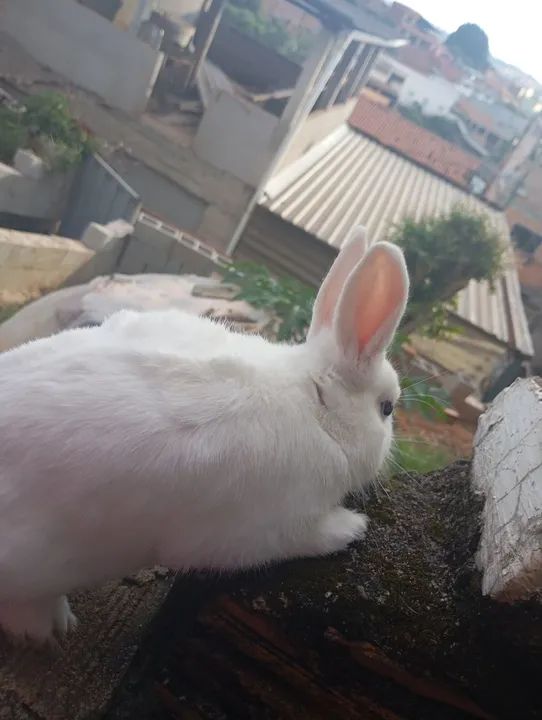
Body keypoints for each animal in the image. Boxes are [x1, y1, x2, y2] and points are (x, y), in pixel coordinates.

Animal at [0, 226, 409, 642]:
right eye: (386, 409)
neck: (316, 406)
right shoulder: (271, 526)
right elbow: (308, 537)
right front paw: (353, 527)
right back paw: (55, 626)